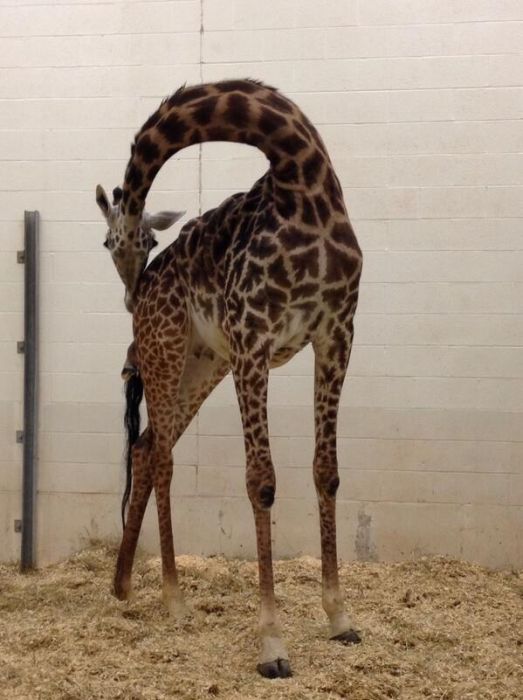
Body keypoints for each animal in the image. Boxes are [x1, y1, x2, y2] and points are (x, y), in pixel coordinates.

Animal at [95, 78, 364, 680]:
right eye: (110, 243)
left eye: (144, 241)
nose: (129, 295)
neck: (302, 177)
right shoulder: (252, 339)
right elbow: (261, 480)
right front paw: (272, 645)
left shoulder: (336, 334)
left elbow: (328, 471)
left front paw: (340, 619)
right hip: (170, 355)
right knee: (161, 455)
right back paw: (173, 599)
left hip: (202, 365)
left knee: (147, 447)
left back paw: (123, 587)